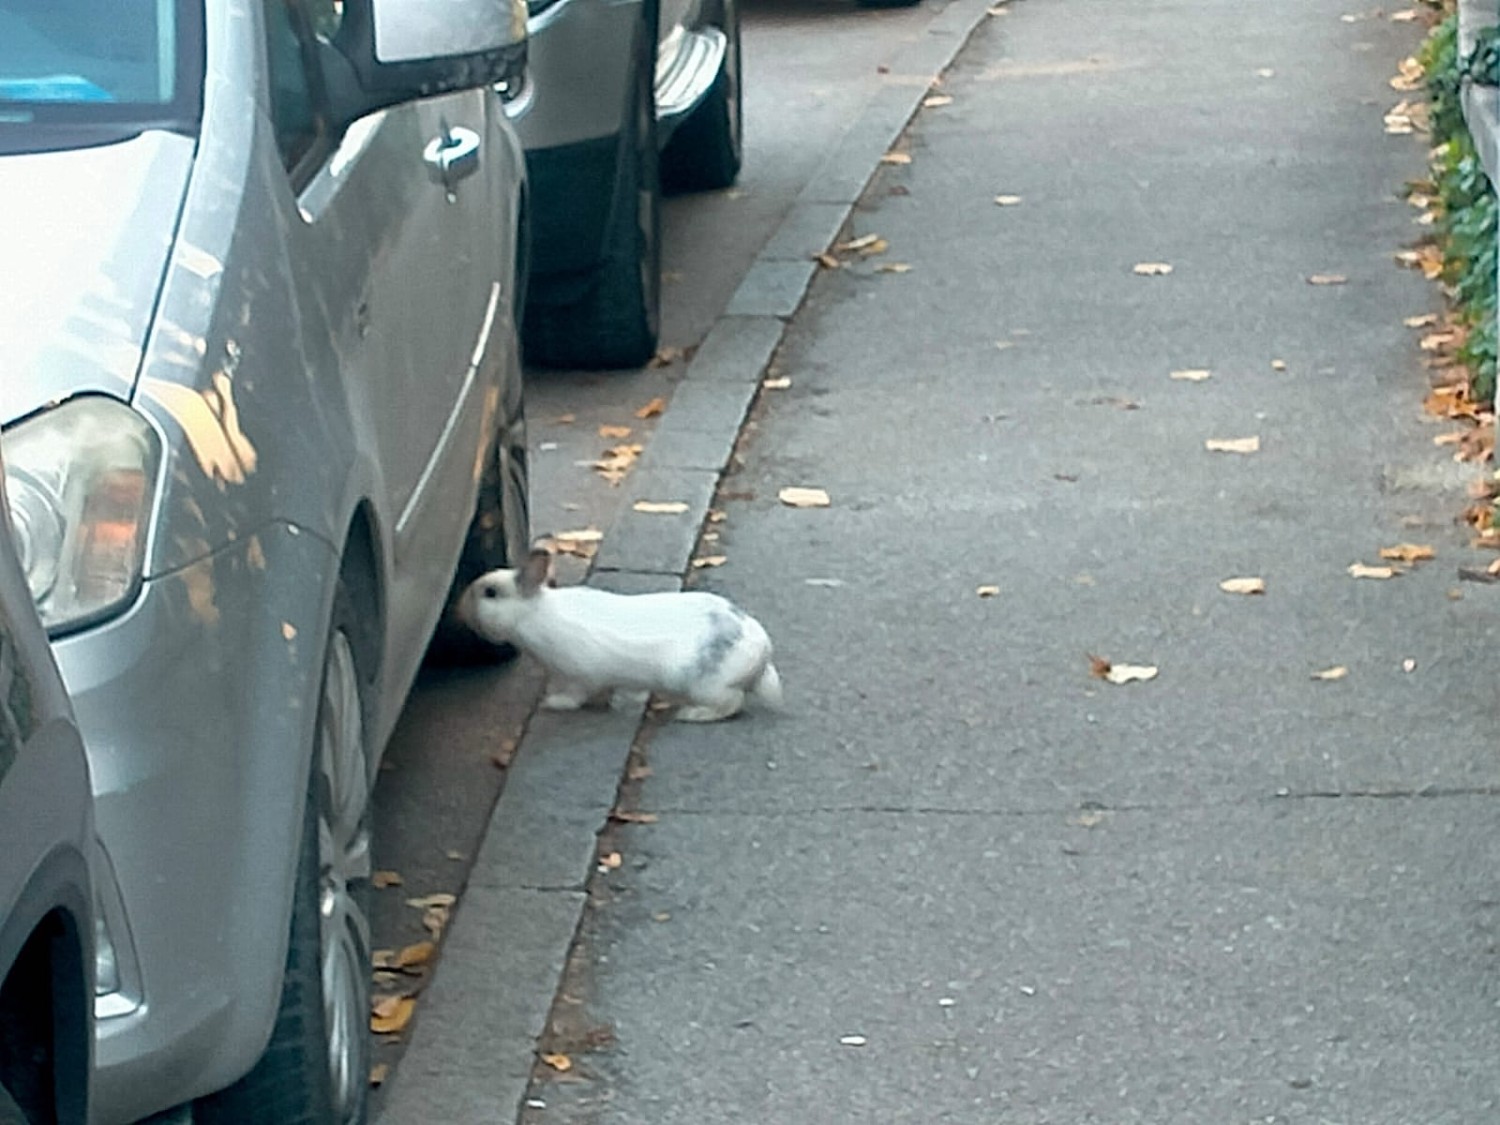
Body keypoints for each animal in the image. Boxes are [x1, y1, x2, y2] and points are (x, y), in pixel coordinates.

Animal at [458, 548, 782, 722]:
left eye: (490, 593)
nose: (459, 609)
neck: (533, 614)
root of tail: (761, 654)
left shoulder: (579, 676)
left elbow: (574, 695)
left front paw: (553, 703)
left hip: (701, 684)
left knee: (731, 702)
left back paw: (692, 715)